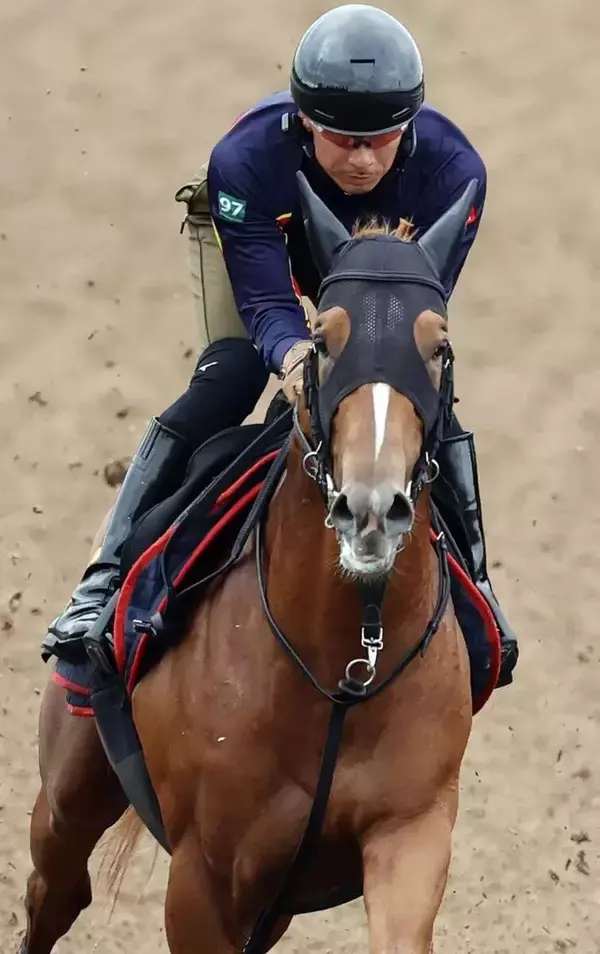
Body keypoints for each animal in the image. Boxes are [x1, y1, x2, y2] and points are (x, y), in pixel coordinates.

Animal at [20, 173, 484, 954]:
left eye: (439, 346)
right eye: (323, 342)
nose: (371, 507)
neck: (342, 672)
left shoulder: (411, 830)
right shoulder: (204, 875)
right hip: (69, 793)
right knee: (53, 894)